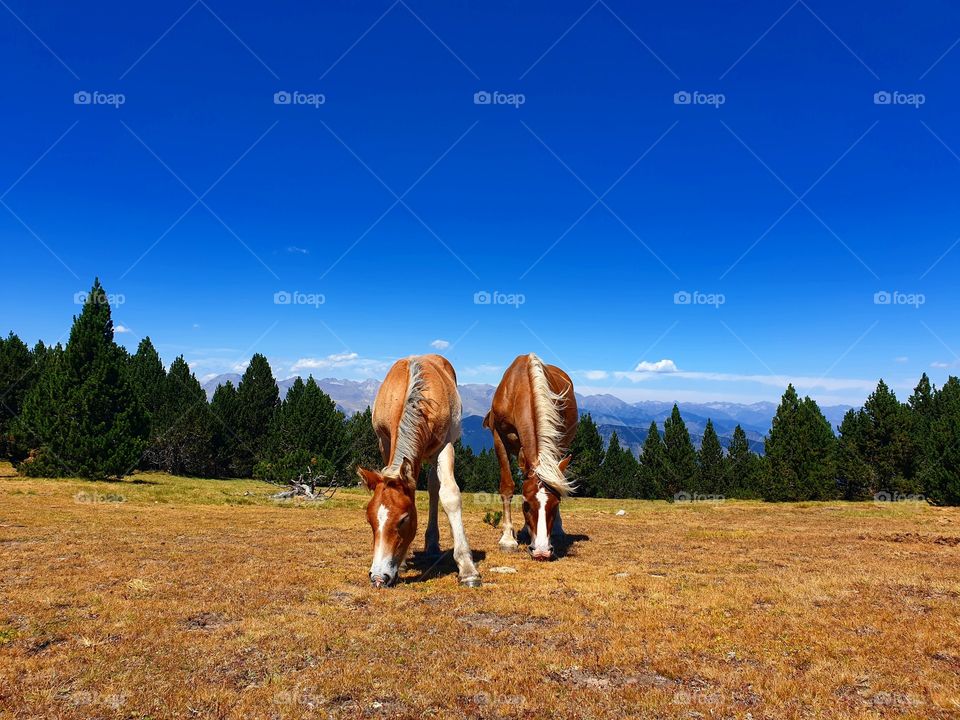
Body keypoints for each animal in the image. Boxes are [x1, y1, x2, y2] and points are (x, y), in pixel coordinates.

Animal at [356, 354, 482, 588]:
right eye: (369, 520)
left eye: (404, 519)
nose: (378, 578)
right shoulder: (384, 442)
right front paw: (402, 563)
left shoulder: (445, 446)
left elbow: (450, 496)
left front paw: (468, 569)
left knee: (434, 488)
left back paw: (432, 545)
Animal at [483, 353, 578, 560]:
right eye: (526, 505)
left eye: (556, 505)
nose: (542, 551)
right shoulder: (498, 438)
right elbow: (507, 486)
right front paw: (507, 539)